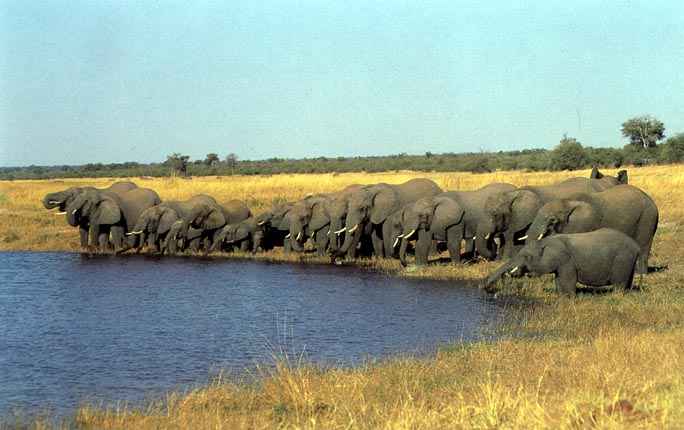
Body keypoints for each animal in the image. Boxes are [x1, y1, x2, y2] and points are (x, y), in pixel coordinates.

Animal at [480, 228, 640, 296]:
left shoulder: (567, 261)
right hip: (628, 260)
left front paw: (569, 298)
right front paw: (560, 297)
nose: (492, 291)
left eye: (526, 256)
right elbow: (558, 281)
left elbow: (568, 280)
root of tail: (636, 246)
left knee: (619, 282)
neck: (546, 241)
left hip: (622, 259)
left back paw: (617, 295)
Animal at [524, 184, 656, 272]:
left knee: (643, 244)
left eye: (552, 219)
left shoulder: (583, 224)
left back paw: (641, 273)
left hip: (647, 217)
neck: (567, 202)